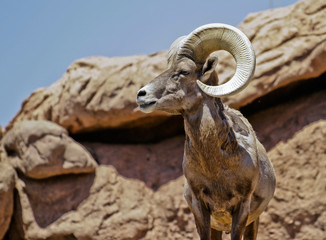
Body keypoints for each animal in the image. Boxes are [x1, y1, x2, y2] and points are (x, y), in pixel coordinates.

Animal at [136, 23, 276, 240]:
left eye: (184, 71)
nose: (141, 94)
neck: (216, 166)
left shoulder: (242, 209)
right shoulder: (200, 208)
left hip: (253, 222)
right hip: (217, 227)